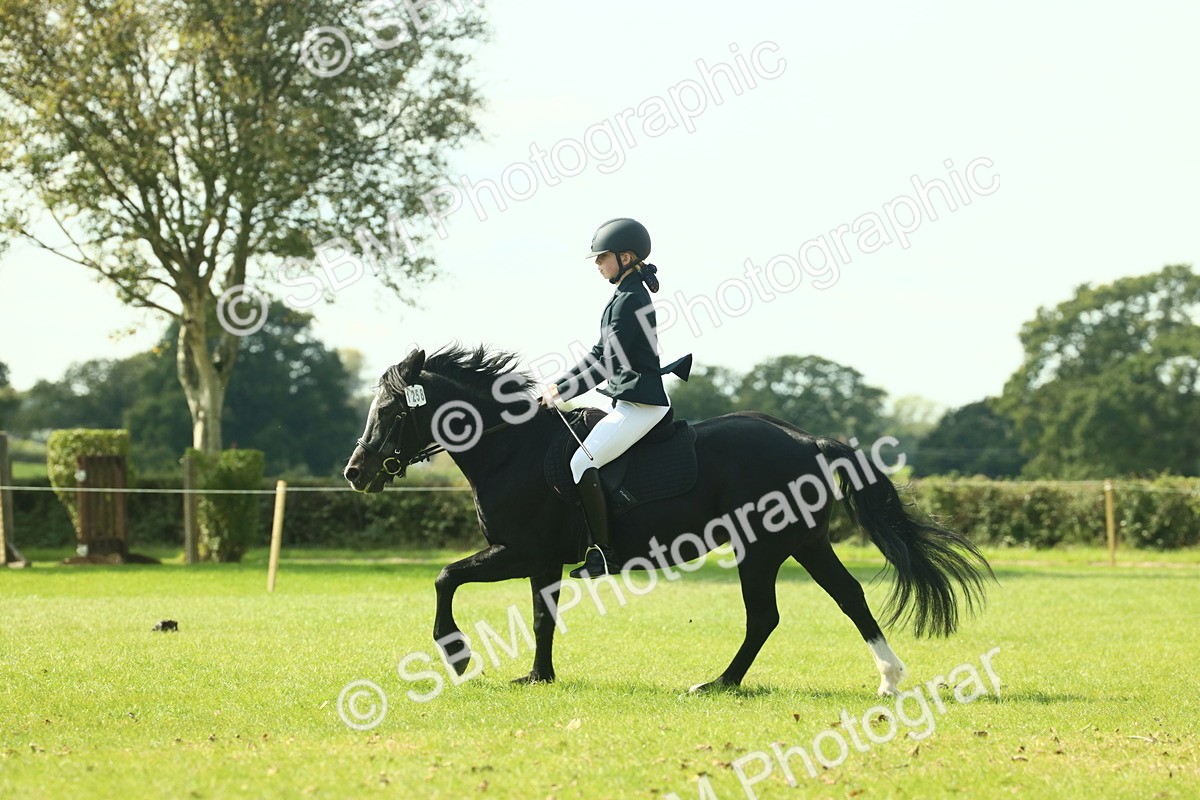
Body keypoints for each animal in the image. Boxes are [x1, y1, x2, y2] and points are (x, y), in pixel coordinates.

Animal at [343, 345, 993, 696]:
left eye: (392, 409)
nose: (356, 472)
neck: (511, 448)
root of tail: (806, 439)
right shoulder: (541, 562)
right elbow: (541, 616)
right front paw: (538, 676)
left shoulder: (523, 552)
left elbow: (446, 578)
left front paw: (457, 655)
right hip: (795, 544)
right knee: (832, 599)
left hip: (766, 546)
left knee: (779, 612)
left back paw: (724, 684)